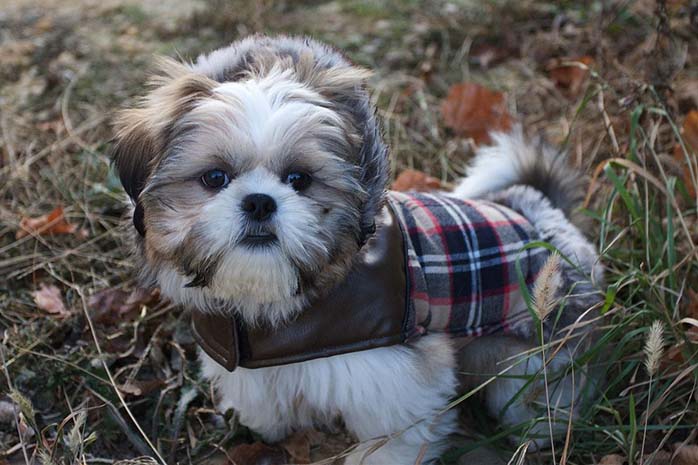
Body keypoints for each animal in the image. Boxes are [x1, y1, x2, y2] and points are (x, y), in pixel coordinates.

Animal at [111, 34, 600, 462]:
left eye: (299, 179)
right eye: (215, 178)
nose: (260, 202)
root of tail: (536, 208)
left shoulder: (394, 378)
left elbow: (393, 438)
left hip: (530, 354)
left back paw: (542, 429)